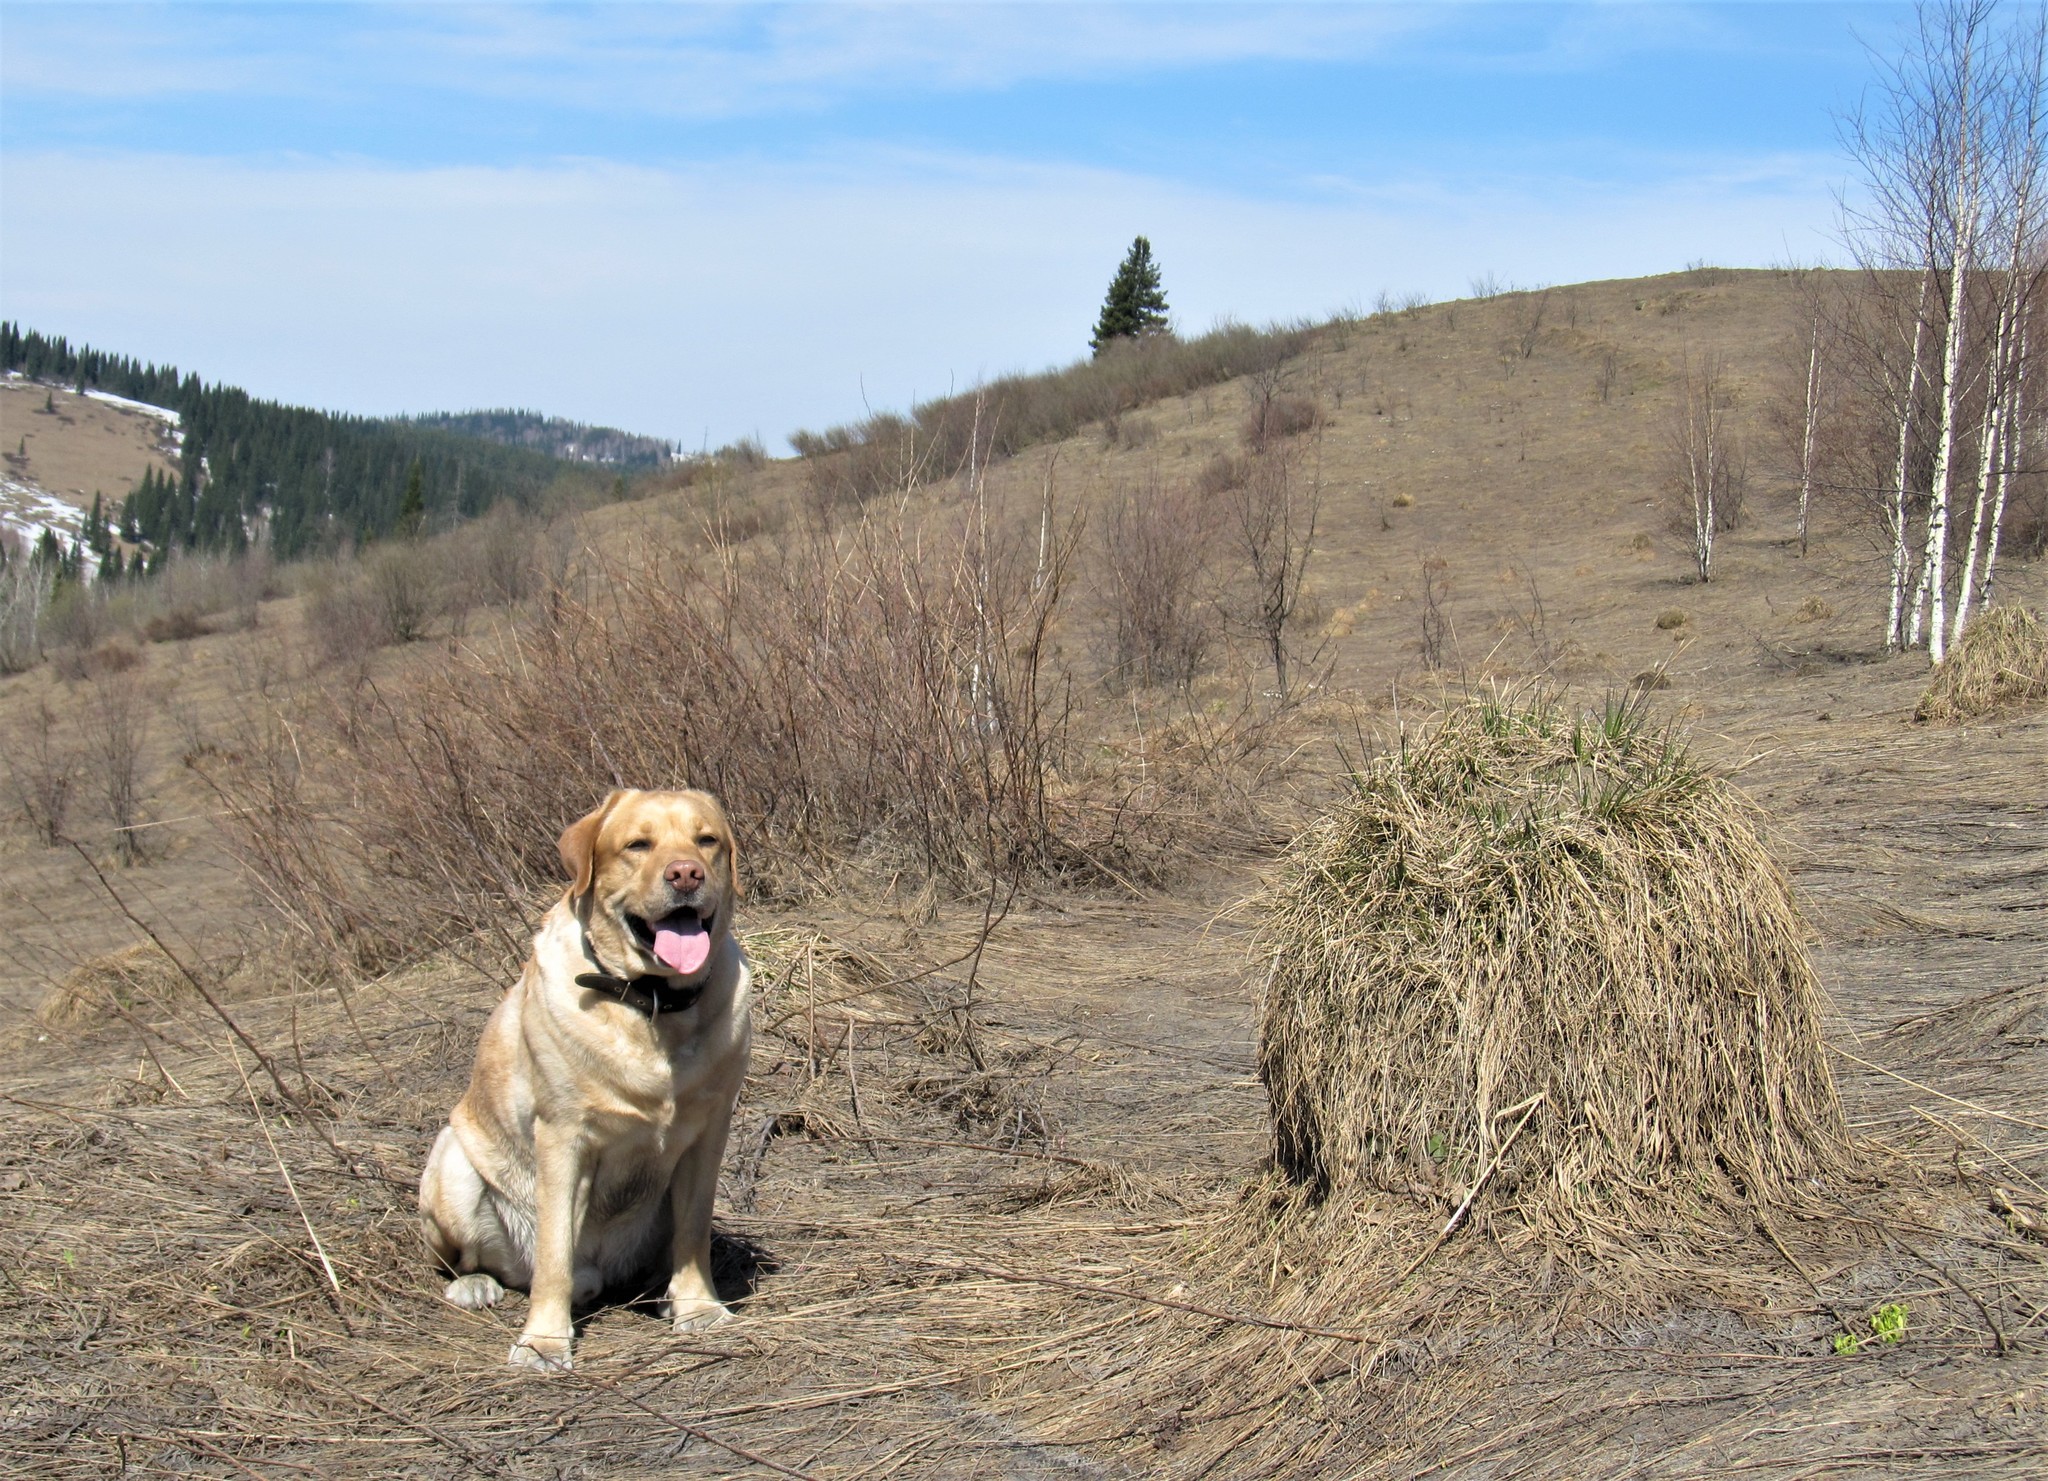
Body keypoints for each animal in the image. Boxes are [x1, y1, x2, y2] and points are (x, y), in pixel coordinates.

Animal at [421, 794, 753, 1376]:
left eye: (706, 840)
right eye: (637, 844)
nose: (686, 873)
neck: (651, 1004)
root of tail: (598, 1275)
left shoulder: (709, 1133)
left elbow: (693, 1232)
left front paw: (697, 1306)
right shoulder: (562, 1136)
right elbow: (555, 1250)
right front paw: (543, 1341)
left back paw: (663, 1295)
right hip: (451, 1162)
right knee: (477, 1259)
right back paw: (475, 1285)